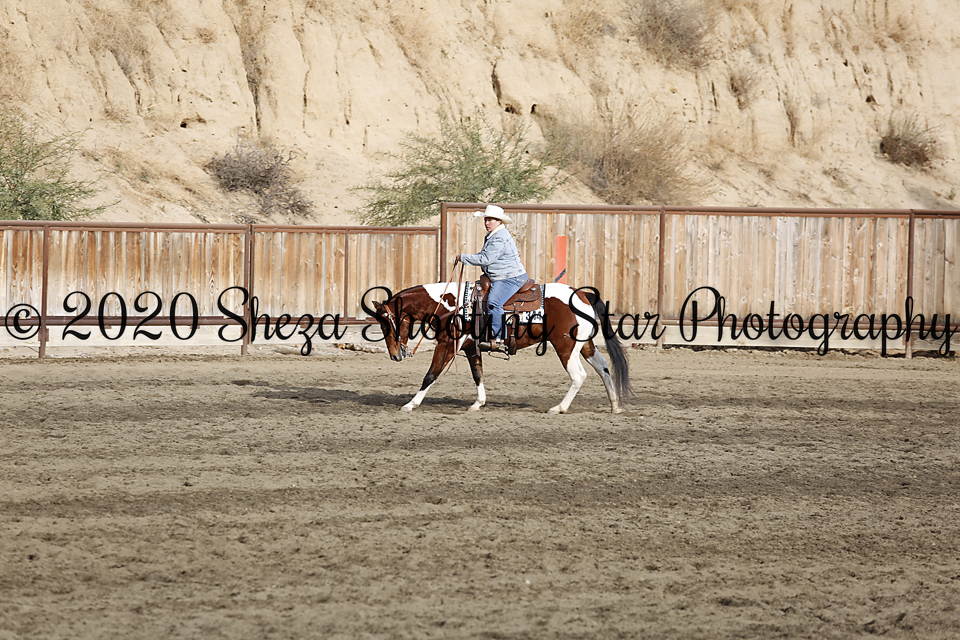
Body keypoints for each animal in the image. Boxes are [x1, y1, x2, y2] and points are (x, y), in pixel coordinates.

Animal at [367, 280, 632, 414]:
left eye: (385, 323)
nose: (394, 355)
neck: (451, 304)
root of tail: (582, 295)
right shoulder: (470, 347)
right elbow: (477, 373)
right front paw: (478, 403)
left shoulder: (447, 344)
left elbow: (431, 375)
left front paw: (410, 404)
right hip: (585, 345)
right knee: (603, 368)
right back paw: (615, 405)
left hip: (565, 347)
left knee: (579, 376)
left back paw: (559, 408)